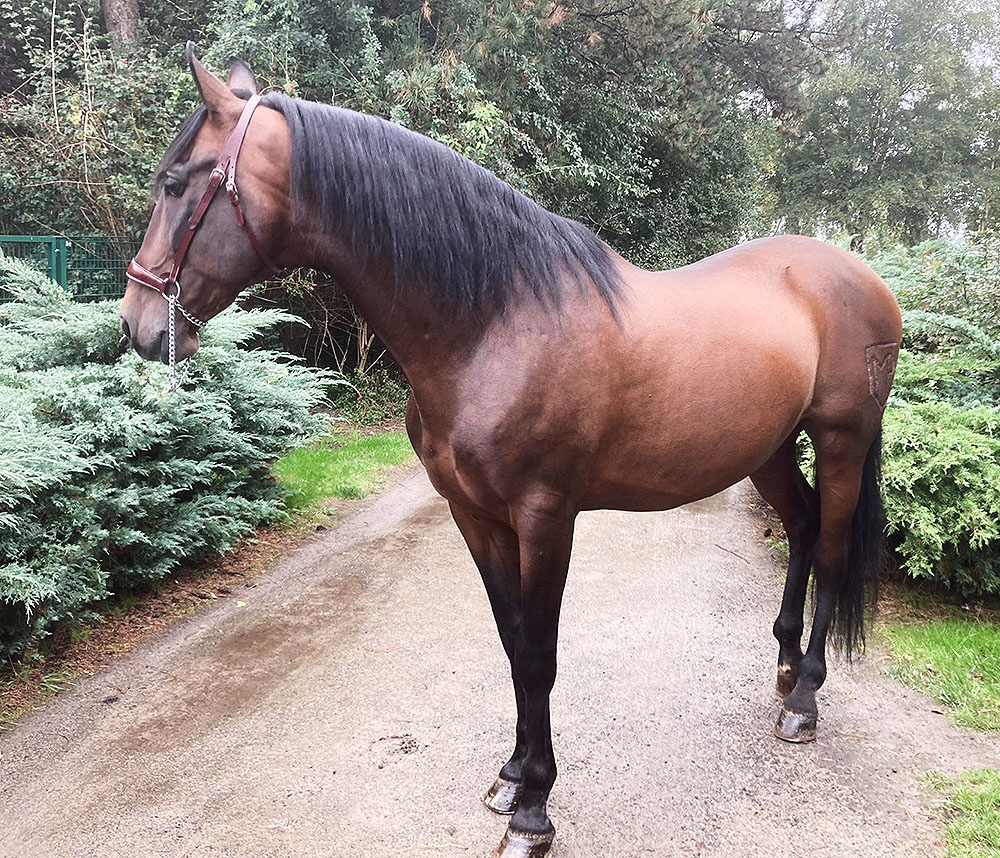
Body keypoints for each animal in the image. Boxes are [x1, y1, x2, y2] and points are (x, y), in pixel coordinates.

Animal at [119, 45, 902, 858]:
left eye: (176, 184)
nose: (137, 324)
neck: (495, 324)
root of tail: (860, 276)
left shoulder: (545, 517)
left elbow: (540, 654)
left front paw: (534, 811)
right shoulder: (475, 515)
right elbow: (511, 643)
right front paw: (513, 775)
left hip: (841, 442)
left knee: (833, 547)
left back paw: (804, 697)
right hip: (769, 450)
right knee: (803, 528)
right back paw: (783, 665)